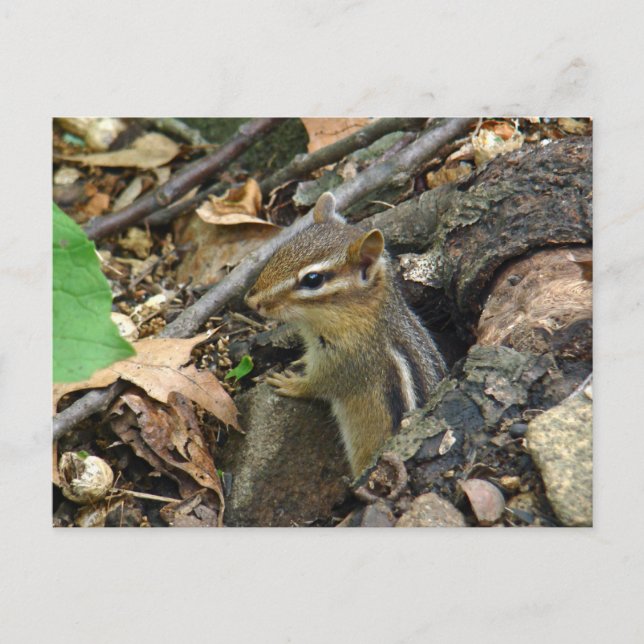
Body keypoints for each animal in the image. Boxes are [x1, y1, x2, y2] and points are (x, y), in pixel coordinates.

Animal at [244, 192, 447, 476]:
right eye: (280, 252)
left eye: (313, 279)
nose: (251, 302)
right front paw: (301, 361)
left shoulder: (350, 361)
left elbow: (321, 385)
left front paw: (291, 383)